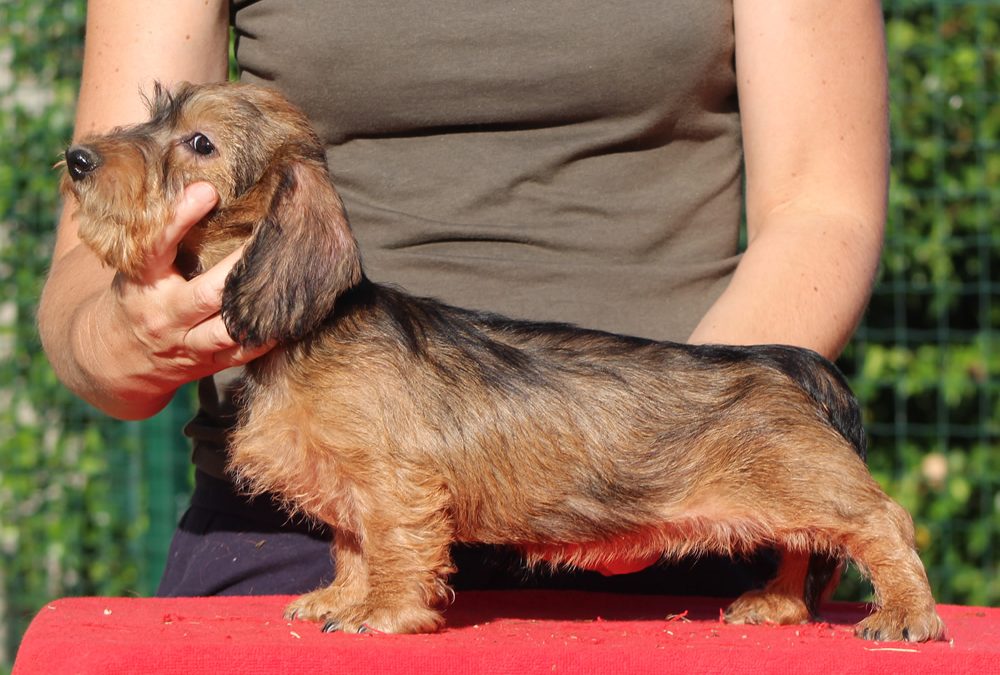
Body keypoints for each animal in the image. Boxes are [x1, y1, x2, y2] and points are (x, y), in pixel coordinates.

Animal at [60, 82, 944, 640]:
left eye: (198, 142)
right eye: (155, 116)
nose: (77, 159)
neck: (315, 328)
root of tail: (781, 360)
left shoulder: (396, 483)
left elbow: (394, 544)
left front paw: (383, 613)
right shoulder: (351, 486)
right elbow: (352, 542)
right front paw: (337, 597)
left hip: (809, 483)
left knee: (883, 524)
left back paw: (904, 615)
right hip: (789, 494)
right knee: (805, 545)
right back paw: (778, 605)